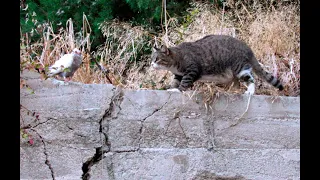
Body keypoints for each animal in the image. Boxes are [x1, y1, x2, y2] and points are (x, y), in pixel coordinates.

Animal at [151, 34, 284, 95]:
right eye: (151, 59)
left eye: (157, 59)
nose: (152, 64)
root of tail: (248, 48)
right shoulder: (178, 74)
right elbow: (175, 81)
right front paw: (171, 87)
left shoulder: (191, 70)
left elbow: (184, 83)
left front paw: (178, 90)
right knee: (237, 83)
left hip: (239, 68)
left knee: (251, 79)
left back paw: (250, 91)